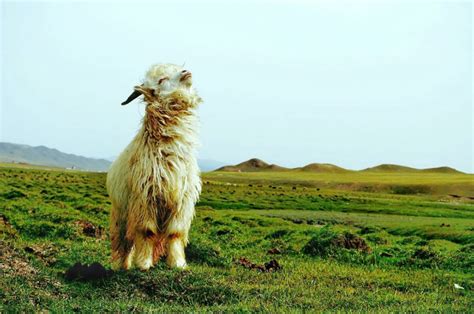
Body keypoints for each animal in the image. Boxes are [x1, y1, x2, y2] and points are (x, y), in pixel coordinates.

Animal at [106, 63, 203, 270]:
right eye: (162, 80)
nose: (186, 72)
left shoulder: (182, 201)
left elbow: (175, 233)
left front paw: (178, 263)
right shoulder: (145, 199)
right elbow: (146, 232)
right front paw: (144, 263)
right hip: (121, 215)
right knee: (124, 242)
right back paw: (123, 266)